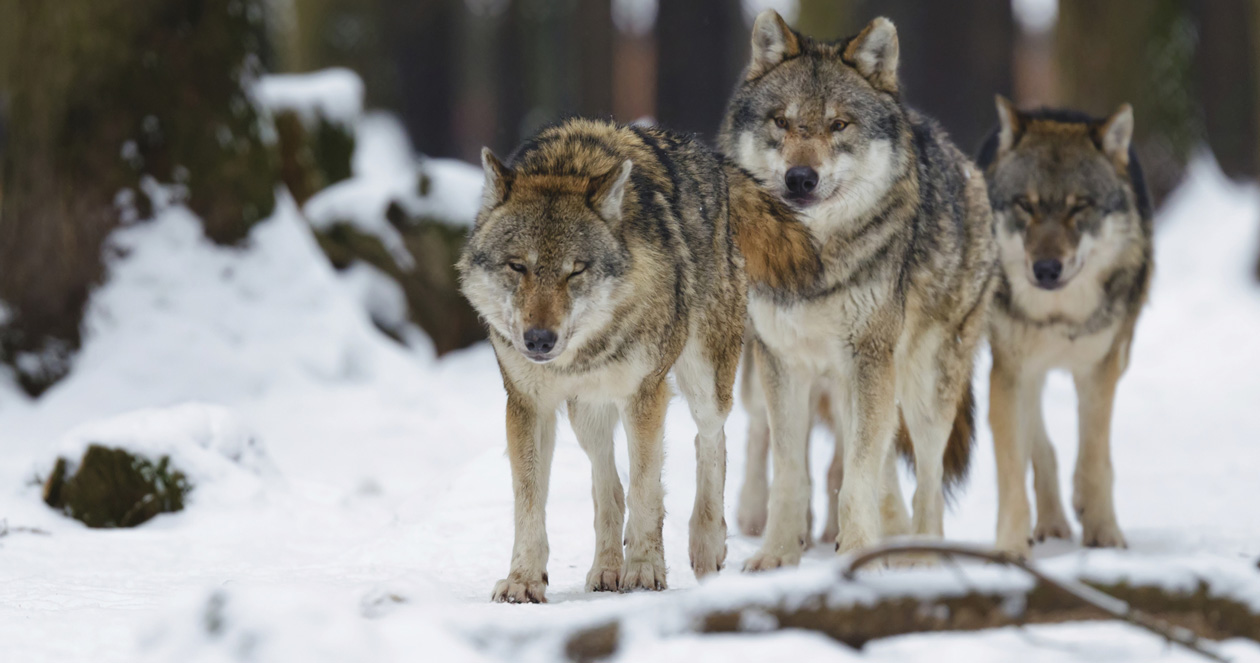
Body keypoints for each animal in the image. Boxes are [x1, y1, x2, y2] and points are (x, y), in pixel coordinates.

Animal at [458, 118, 817, 602]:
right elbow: (530, 502)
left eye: (576, 270)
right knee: (607, 482)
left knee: (710, 440)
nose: (538, 340)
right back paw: (607, 570)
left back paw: (706, 545)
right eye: (518, 267)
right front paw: (523, 580)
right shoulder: (527, 405)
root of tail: (711, 158)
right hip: (587, 412)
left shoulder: (645, 396)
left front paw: (645, 570)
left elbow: (646, 491)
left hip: (703, 380)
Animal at [719, 11, 997, 569]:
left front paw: (859, 553)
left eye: (839, 125)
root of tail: (969, 168)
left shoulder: (868, 359)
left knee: (925, 475)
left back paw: (919, 554)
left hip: (921, 384)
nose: (800, 178)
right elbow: (791, 473)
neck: (812, 260)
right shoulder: (783, 361)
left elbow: (858, 478)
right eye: (781, 122)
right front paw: (777, 555)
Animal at [977, 99, 1153, 557]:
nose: (1046, 269)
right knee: (1040, 446)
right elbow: (1012, 470)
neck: (1058, 317)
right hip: (1024, 372)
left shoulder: (1099, 370)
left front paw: (1104, 533)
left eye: (1079, 206)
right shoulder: (1010, 372)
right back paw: (1053, 520)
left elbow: (1094, 460)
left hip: (1120, 354)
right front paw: (1009, 548)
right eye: (1026, 204)